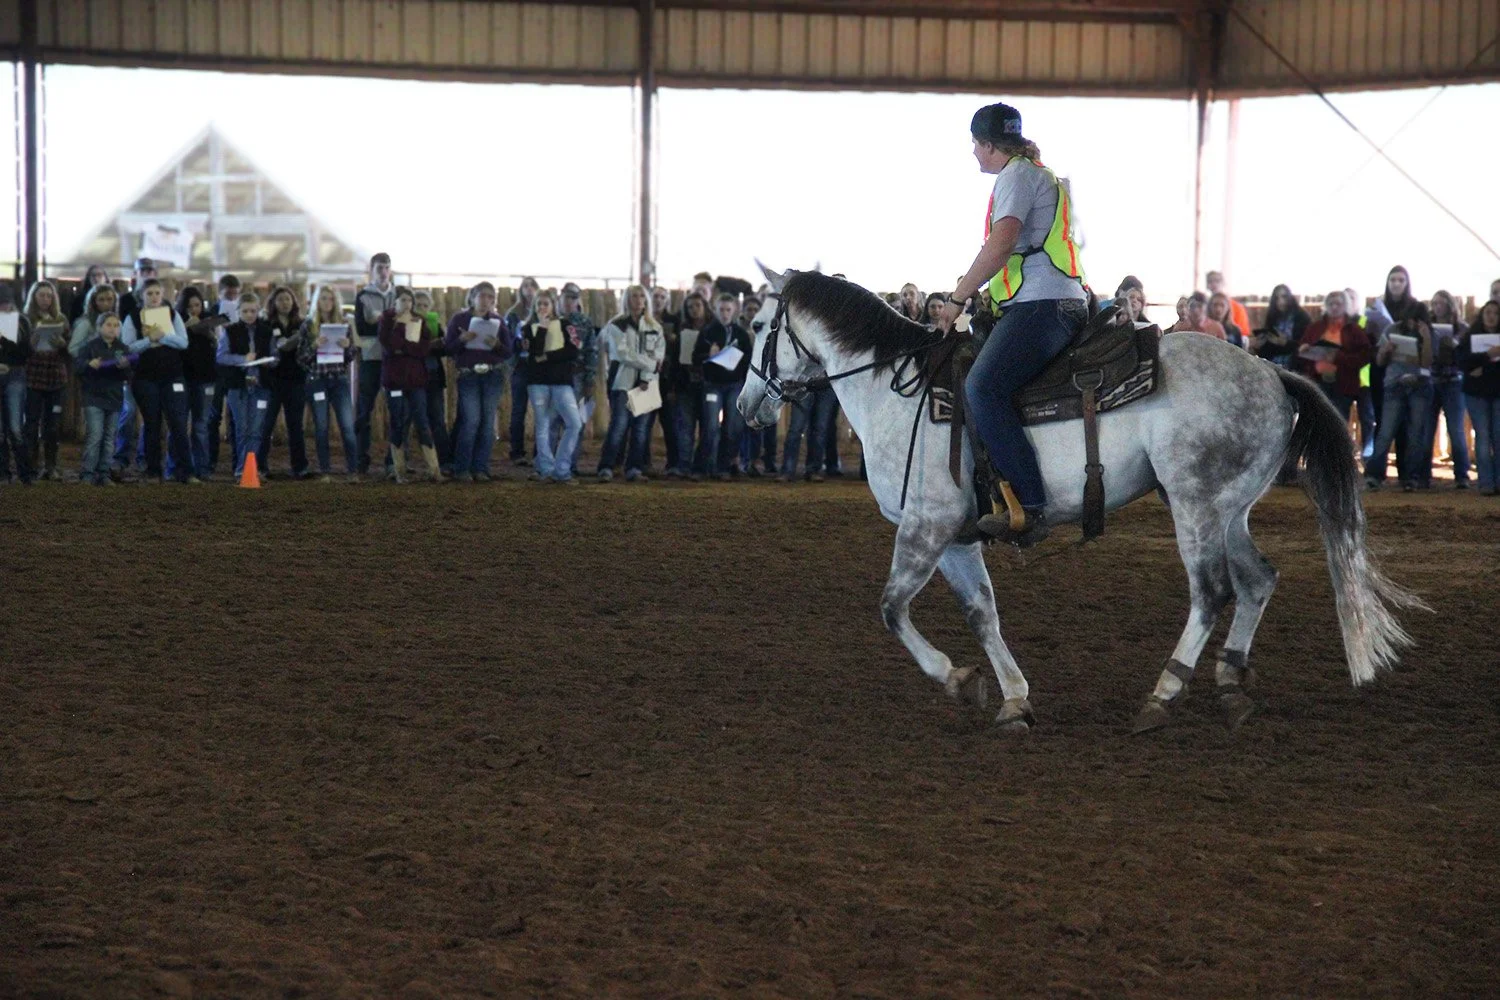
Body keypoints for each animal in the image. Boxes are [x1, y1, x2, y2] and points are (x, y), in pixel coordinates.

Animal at [737, 263, 1425, 733]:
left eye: (757, 325)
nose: (746, 407)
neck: (896, 390)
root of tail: (1275, 375)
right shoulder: (956, 536)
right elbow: (981, 613)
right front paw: (1010, 697)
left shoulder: (926, 526)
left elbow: (890, 609)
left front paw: (957, 679)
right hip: (1228, 508)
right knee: (1258, 580)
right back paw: (1231, 683)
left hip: (1196, 505)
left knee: (1212, 591)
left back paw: (1163, 694)